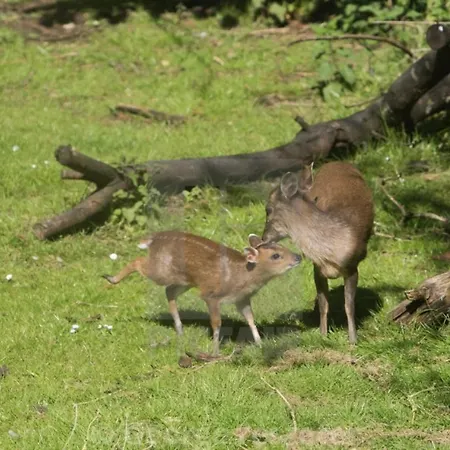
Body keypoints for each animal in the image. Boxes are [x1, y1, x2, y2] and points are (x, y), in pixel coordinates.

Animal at [103, 231, 301, 356]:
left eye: (282, 246)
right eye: (276, 256)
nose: (298, 256)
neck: (242, 276)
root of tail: (153, 239)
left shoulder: (242, 298)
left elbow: (251, 319)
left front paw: (260, 343)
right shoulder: (211, 295)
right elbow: (216, 323)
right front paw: (215, 351)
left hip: (185, 280)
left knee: (169, 291)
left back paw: (180, 329)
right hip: (161, 270)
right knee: (138, 262)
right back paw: (111, 278)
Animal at [262, 161, 374, 344]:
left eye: (268, 209)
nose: (264, 237)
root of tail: (338, 162)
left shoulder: (352, 266)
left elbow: (349, 305)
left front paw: (353, 339)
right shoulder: (317, 268)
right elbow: (323, 304)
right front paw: (323, 335)